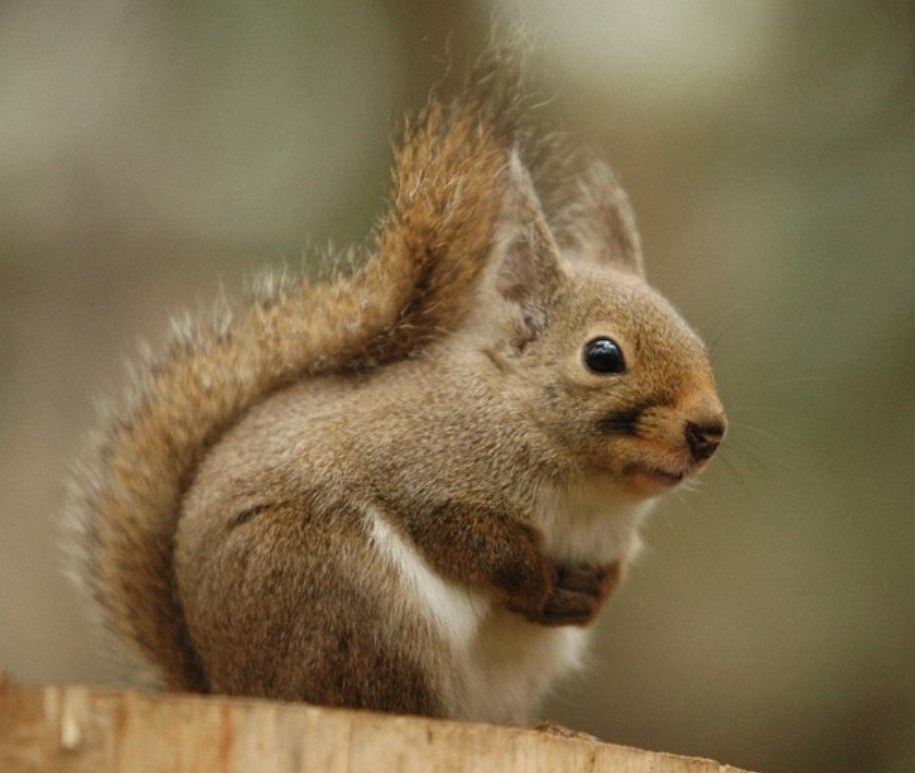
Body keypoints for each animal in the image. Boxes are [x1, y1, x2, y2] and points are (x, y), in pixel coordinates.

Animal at [64, 45, 728, 724]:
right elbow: (475, 543)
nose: (710, 429)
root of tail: (227, 682)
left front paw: (588, 597)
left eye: (699, 343)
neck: (584, 486)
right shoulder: (421, 476)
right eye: (603, 356)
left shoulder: (608, 542)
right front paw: (538, 583)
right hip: (351, 600)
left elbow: (607, 576)